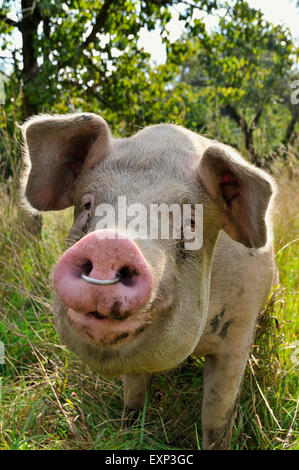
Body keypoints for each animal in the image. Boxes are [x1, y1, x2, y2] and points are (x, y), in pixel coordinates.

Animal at [21, 112, 278, 450]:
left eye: (190, 222)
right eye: (88, 205)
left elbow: (216, 412)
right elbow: (134, 392)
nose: (110, 243)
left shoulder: (239, 329)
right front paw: (127, 429)